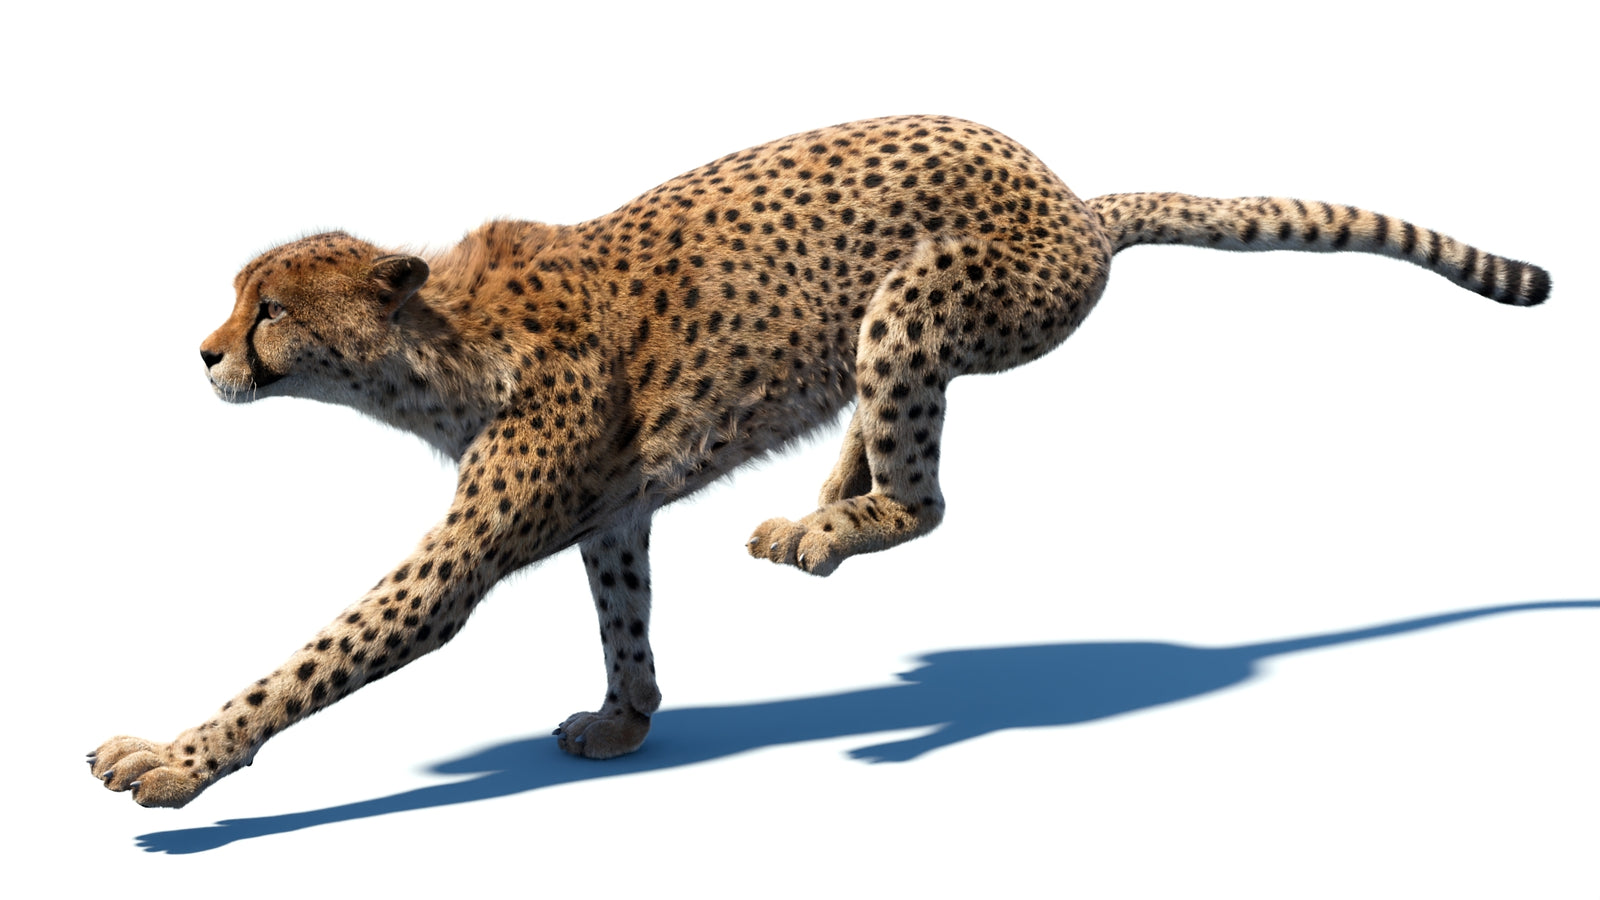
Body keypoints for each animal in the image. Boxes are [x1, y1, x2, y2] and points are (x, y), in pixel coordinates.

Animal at [89, 114, 1550, 807]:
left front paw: (175, 761)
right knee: (881, 432)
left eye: (268, 309)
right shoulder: (611, 513)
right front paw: (627, 718)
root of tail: (1071, 196)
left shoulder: (461, 556)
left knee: (927, 494)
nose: (204, 354)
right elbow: (624, 614)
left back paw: (841, 541)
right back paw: (818, 507)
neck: (431, 348)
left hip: (919, 296)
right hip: (890, 334)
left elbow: (314, 657)